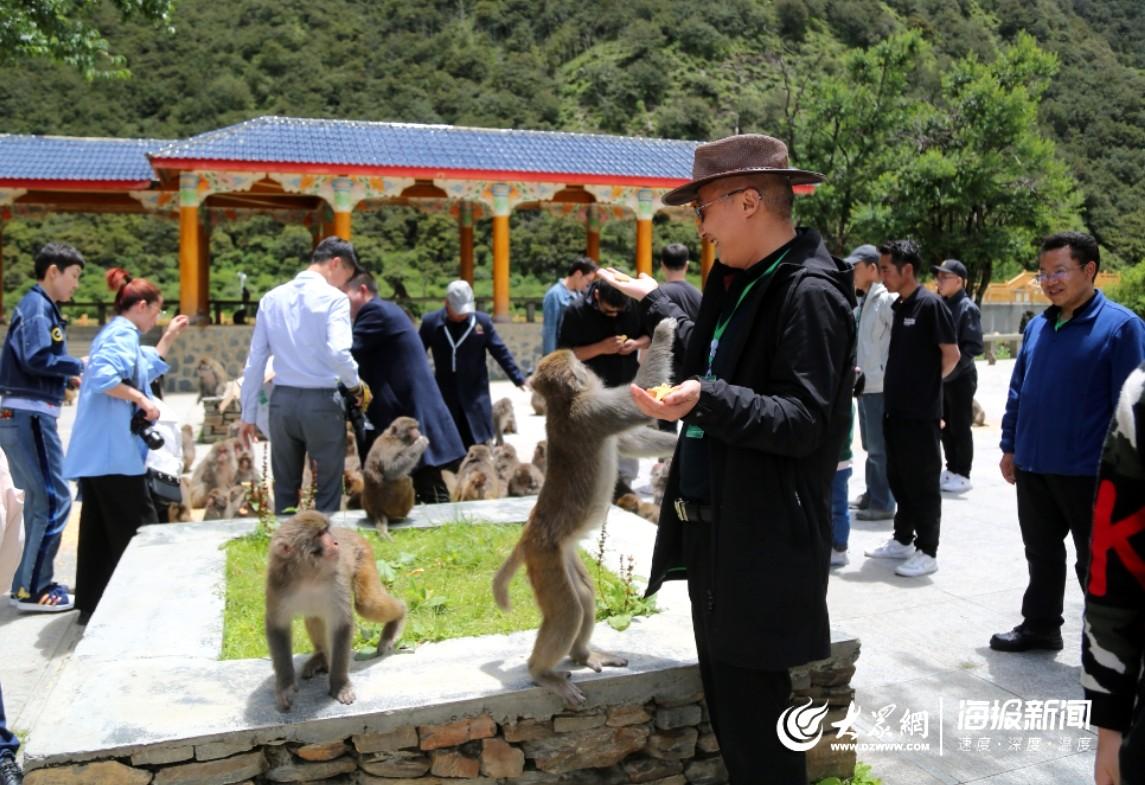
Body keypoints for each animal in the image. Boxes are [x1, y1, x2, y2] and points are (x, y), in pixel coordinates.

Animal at [265, 510, 409, 714]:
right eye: (319, 534)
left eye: (326, 531)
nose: (335, 543)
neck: (308, 576)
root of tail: (349, 531)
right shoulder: (277, 584)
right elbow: (277, 628)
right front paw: (285, 687)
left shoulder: (337, 582)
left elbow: (342, 626)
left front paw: (339, 685)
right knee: (315, 616)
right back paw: (321, 656)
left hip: (364, 556)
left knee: (367, 604)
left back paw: (398, 618)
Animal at [492, 315, 677, 709]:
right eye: (578, 361)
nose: (586, 360)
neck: (565, 402)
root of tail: (528, 532)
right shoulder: (594, 412)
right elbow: (638, 396)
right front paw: (663, 333)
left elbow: (631, 442)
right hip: (545, 558)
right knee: (568, 611)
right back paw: (542, 673)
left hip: (564, 554)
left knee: (585, 594)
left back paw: (582, 654)